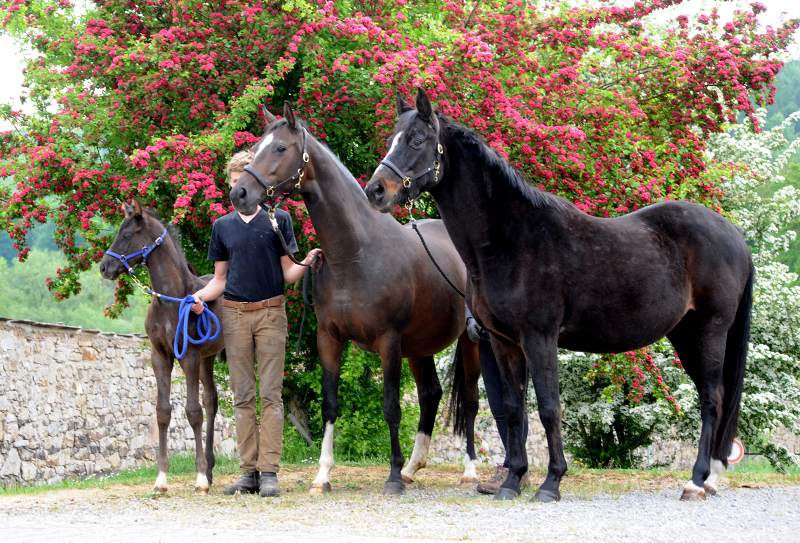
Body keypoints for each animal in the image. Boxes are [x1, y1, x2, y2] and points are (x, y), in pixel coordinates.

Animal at [101, 201, 225, 498]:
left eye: (127, 235)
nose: (104, 267)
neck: (171, 300)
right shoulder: (160, 357)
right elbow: (163, 412)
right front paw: (161, 479)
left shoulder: (188, 356)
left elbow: (192, 412)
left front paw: (199, 478)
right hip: (208, 358)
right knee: (211, 400)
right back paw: (211, 468)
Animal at [228, 100, 484, 496]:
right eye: (256, 148)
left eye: (281, 148)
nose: (240, 194)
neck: (354, 254)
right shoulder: (329, 339)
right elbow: (330, 406)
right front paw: (322, 476)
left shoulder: (388, 342)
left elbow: (391, 406)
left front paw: (391, 477)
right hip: (419, 347)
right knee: (430, 394)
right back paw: (413, 467)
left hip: (468, 343)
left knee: (469, 401)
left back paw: (467, 471)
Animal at [366, 88, 752, 502]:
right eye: (391, 140)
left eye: (417, 140)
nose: (376, 190)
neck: (511, 238)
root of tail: (733, 233)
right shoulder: (504, 342)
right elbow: (514, 409)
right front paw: (513, 481)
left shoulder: (540, 337)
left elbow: (549, 408)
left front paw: (551, 482)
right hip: (685, 333)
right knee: (714, 398)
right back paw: (710, 479)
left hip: (710, 330)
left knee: (712, 399)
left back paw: (696, 482)